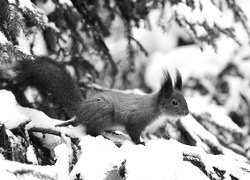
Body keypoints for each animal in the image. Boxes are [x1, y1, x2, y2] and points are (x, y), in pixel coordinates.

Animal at [14, 57, 188, 146]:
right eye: (174, 102)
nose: (187, 113)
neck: (157, 110)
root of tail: (82, 108)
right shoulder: (137, 120)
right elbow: (133, 133)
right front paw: (140, 143)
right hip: (103, 113)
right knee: (91, 130)